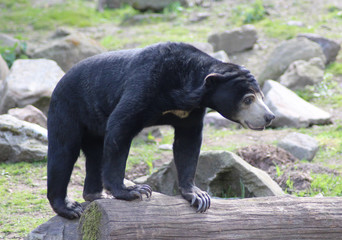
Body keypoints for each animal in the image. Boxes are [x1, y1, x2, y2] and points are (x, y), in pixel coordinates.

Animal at [46, 41, 276, 219]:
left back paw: (96, 195)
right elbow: (120, 126)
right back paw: (69, 208)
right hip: (68, 109)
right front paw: (133, 191)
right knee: (63, 152)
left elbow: (188, 143)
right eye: (248, 99)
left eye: (262, 96)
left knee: (95, 153)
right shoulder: (145, 85)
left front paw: (198, 196)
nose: (269, 117)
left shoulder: (191, 112)